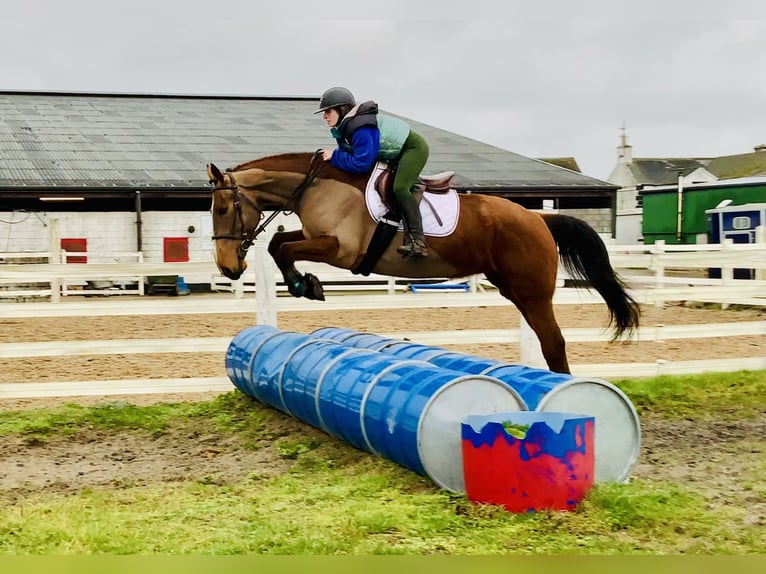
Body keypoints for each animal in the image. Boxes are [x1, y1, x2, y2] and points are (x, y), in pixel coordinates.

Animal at [206, 152, 640, 374]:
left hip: (531, 293)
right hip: (516, 290)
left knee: (553, 343)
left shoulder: (340, 249)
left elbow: (283, 249)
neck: (316, 185)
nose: (229, 268)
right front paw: (304, 284)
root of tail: (539, 219)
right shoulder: (316, 237)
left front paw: (306, 285)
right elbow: (279, 243)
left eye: (223, 209)